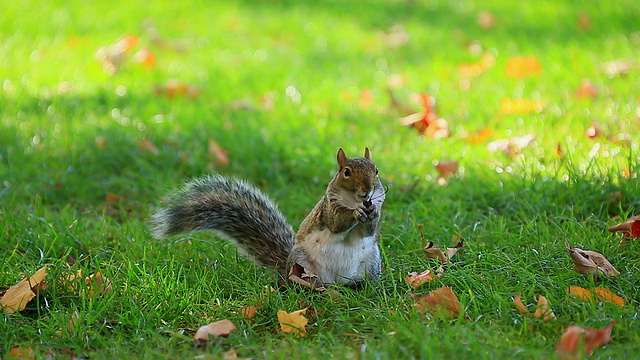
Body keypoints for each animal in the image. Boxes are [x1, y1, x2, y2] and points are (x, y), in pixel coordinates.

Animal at [151, 147, 384, 286]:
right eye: (346, 172)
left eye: (376, 170)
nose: (367, 190)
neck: (354, 200)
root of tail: (334, 282)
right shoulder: (328, 208)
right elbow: (337, 222)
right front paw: (354, 213)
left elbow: (368, 230)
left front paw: (373, 213)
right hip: (302, 262)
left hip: (371, 262)